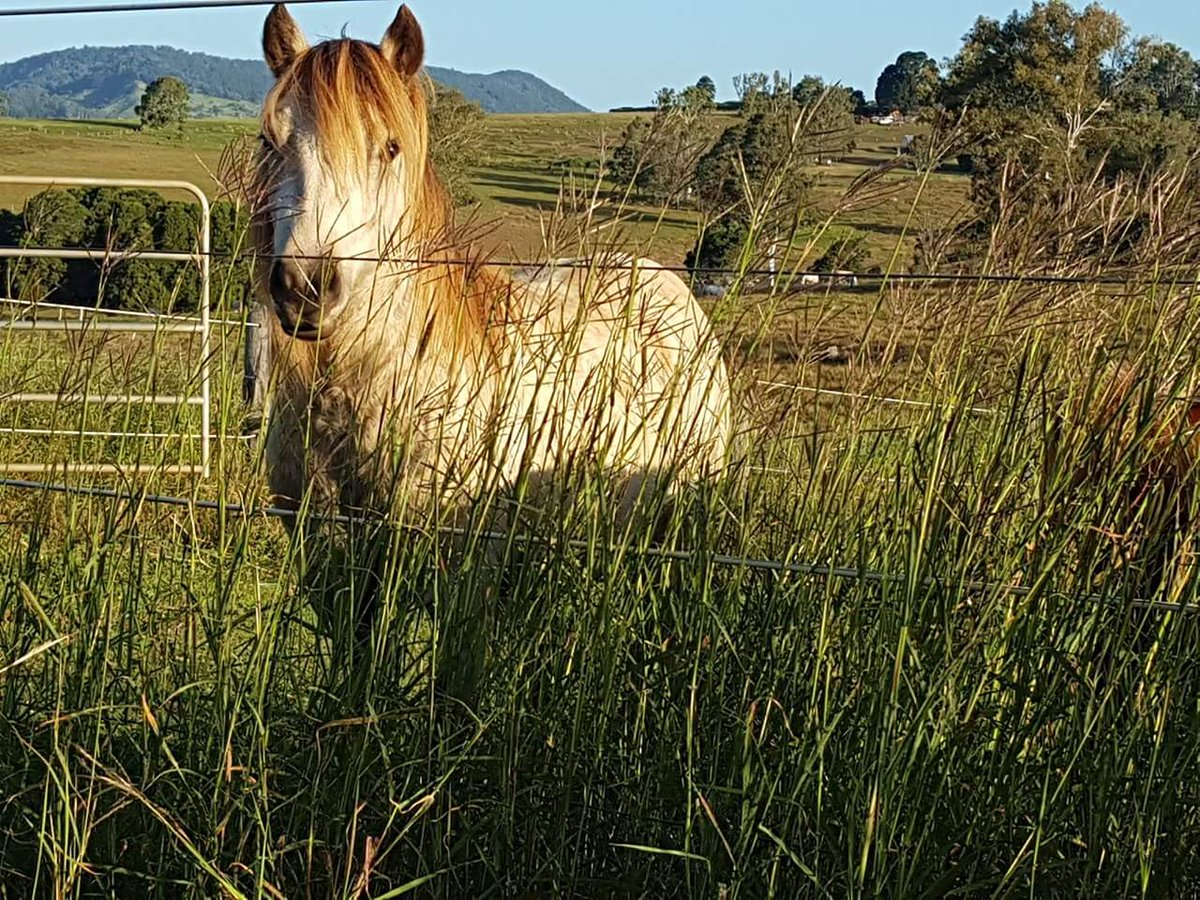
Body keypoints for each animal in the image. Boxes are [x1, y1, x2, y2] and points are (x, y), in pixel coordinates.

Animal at [251, 4, 732, 635]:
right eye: (271, 140)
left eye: (390, 148)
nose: (305, 288)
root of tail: (667, 285)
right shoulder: (329, 571)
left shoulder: (462, 580)